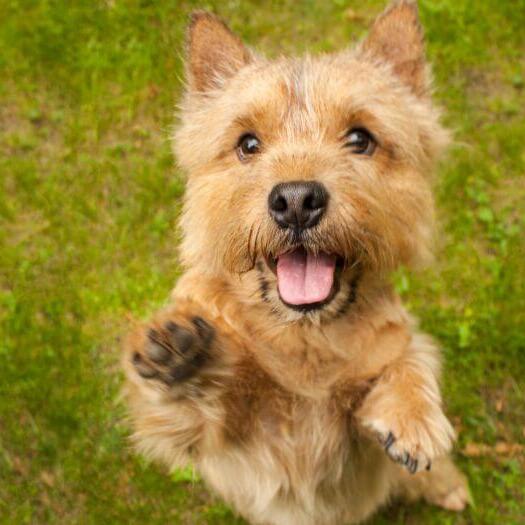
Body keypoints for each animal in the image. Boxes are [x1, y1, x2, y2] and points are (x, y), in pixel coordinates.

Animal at [122, 2, 466, 520]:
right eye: (248, 143)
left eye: (361, 138)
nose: (297, 200)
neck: (307, 336)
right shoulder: (236, 442)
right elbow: (198, 411)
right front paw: (181, 355)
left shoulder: (382, 370)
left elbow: (406, 359)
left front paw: (411, 414)